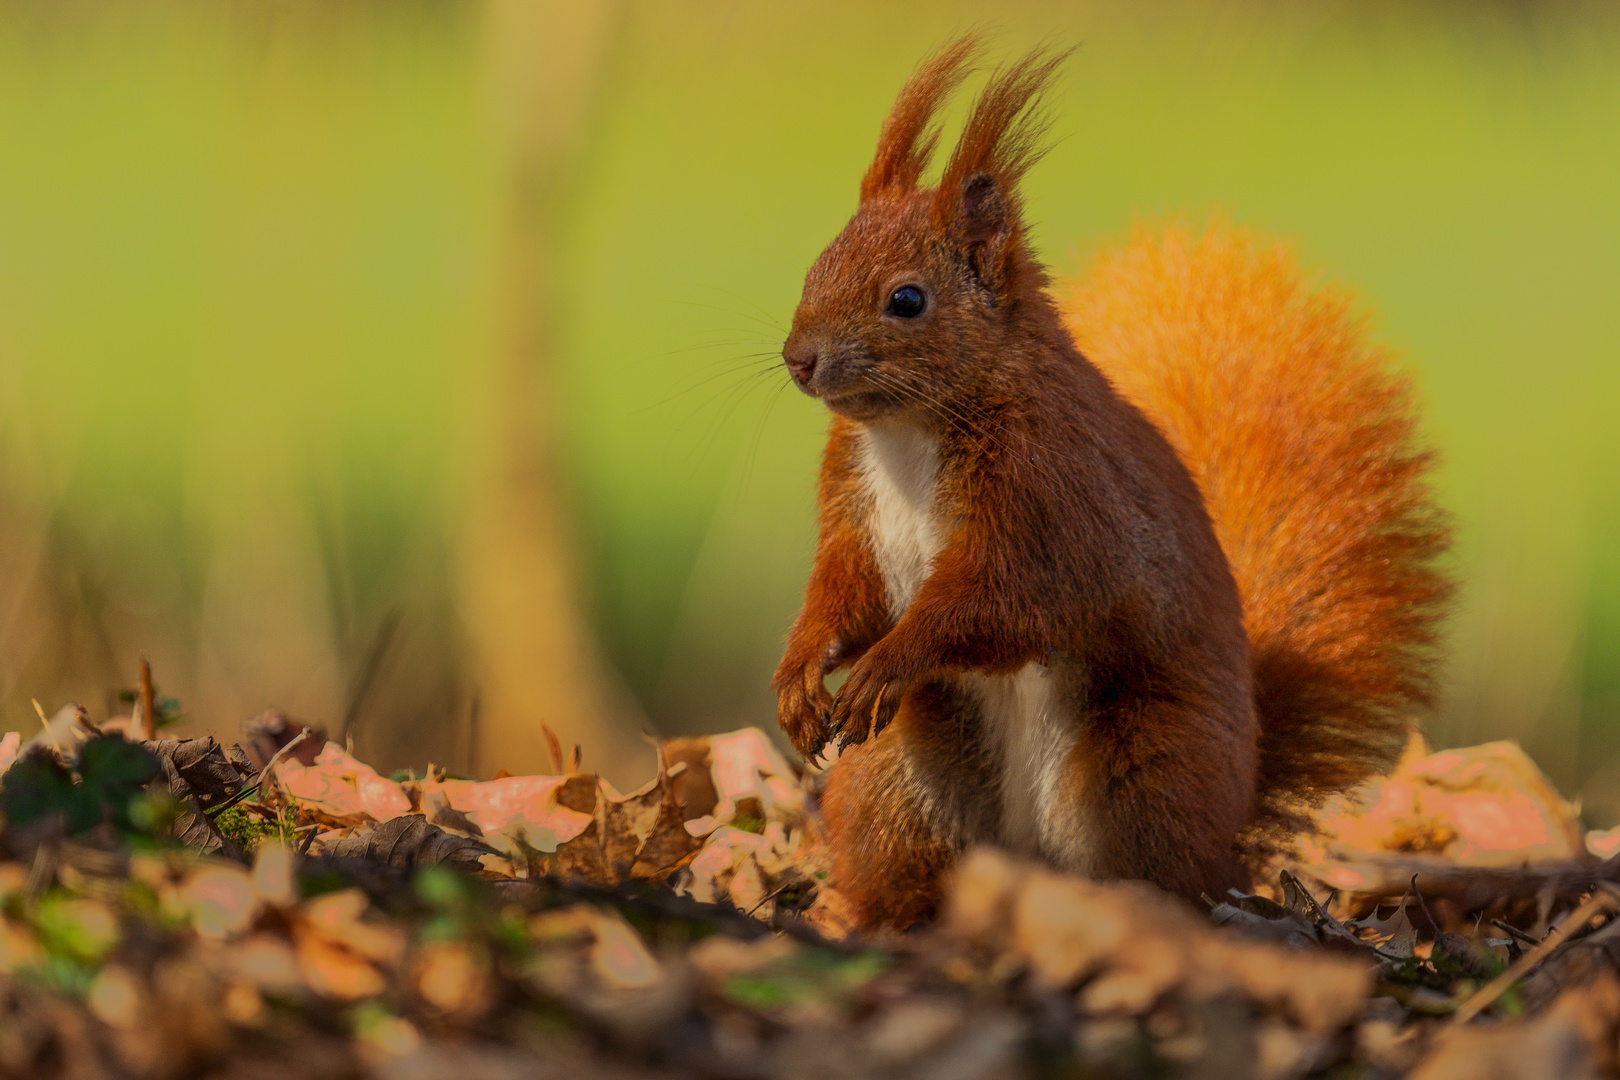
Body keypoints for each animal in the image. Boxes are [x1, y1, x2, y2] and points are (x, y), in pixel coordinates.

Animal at [771, 38, 1458, 926]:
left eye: (907, 300)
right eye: (817, 265)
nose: (799, 359)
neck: (907, 434)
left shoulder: (1052, 500)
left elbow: (996, 604)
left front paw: (888, 663)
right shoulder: (854, 510)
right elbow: (843, 591)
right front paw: (799, 676)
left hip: (1146, 771)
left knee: (1153, 870)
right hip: (897, 782)